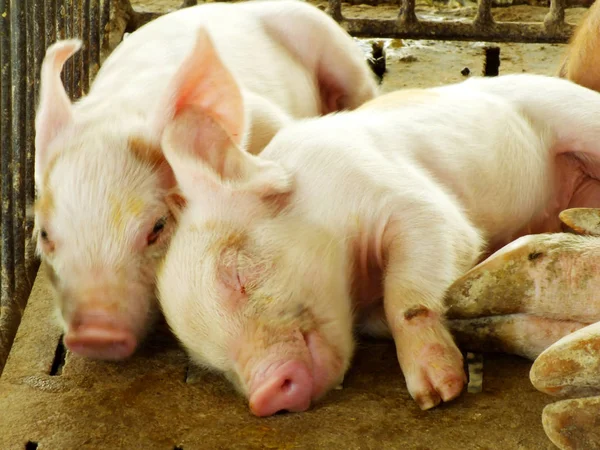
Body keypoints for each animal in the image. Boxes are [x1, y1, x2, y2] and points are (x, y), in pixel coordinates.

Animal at [157, 73, 600, 414]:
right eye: (216, 364)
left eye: (236, 272)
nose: (263, 396)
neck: (357, 276)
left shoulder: (409, 200)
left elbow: (406, 293)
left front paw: (435, 395)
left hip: (576, 115)